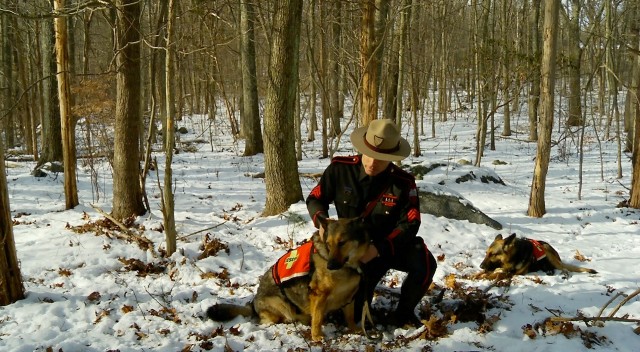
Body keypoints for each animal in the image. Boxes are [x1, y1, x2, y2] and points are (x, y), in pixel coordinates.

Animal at [208, 217, 370, 340]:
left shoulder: (350, 296)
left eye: (342, 243)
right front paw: (317, 336)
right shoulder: (318, 295)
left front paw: (354, 329)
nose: (330, 266)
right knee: (271, 319)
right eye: (328, 244)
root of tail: (253, 304)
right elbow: (317, 319)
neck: (348, 266)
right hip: (281, 303)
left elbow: (350, 316)